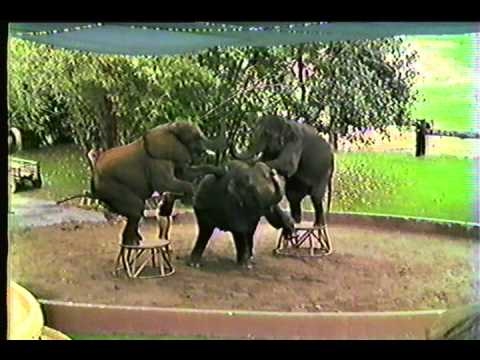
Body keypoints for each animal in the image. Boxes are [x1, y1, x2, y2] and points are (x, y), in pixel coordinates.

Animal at [90, 121, 229, 245]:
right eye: (196, 139)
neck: (171, 128)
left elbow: (185, 174)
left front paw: (220, 172)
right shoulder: (157, 159)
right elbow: (165, 183)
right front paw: (191, 197)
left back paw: (136, 240)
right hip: (111, 186)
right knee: (136, 207)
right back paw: (132, 243)